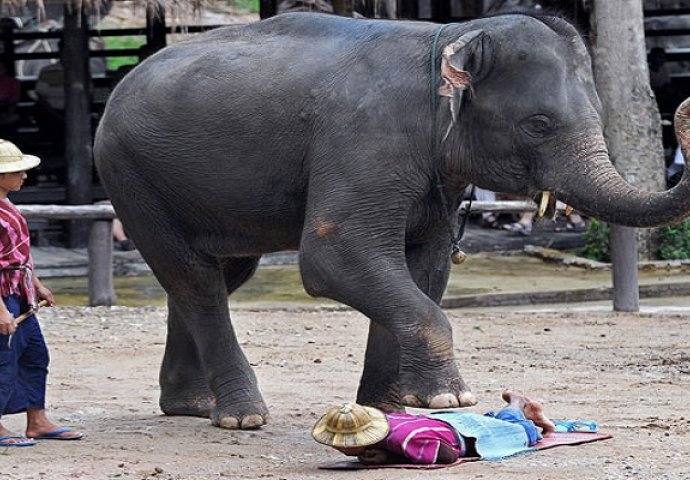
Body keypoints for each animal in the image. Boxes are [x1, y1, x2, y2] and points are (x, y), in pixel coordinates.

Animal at [95, 13, 688, 430]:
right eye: (539, 124)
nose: (682, 111)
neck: (451, 35)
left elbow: (421, 270)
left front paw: (394, 409)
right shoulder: (366, 139)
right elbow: (335, 256)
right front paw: (452, 397)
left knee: (215, 274)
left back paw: (191, 406)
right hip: (129, 173)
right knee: (195, 280)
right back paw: (242, 417)